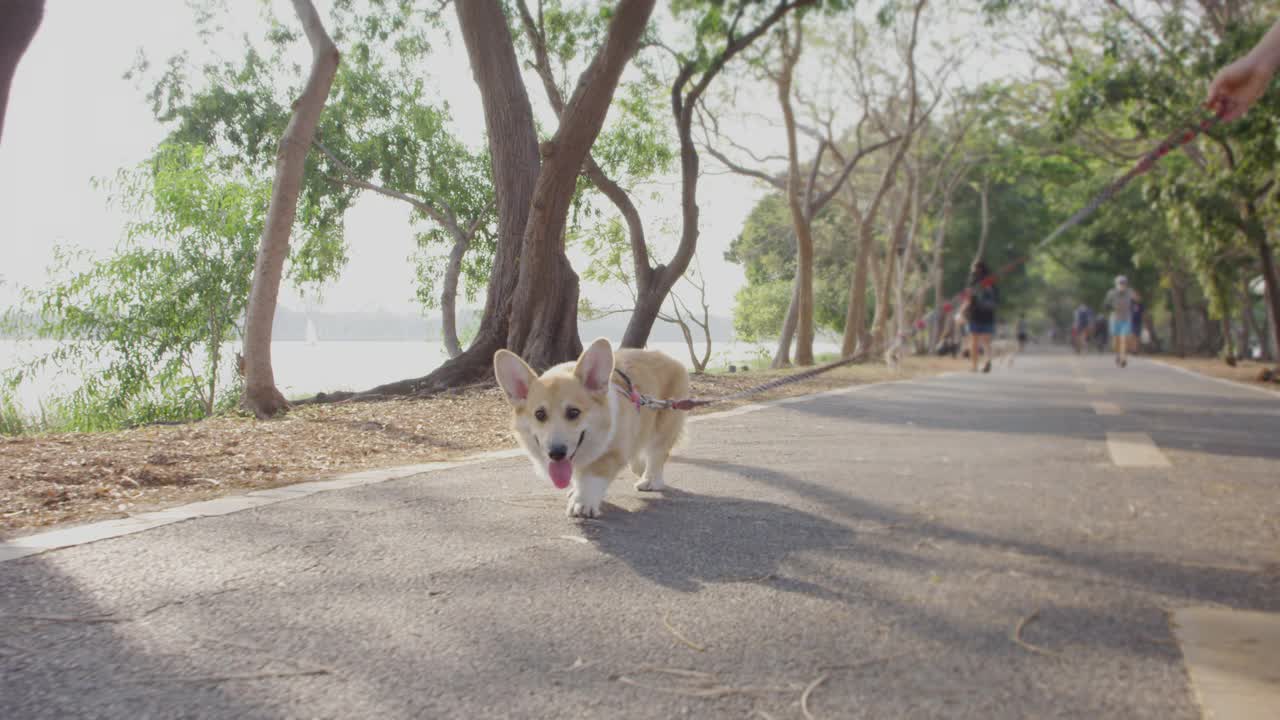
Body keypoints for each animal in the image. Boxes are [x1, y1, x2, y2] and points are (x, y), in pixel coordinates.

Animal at [488, 335, 691, 515]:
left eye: (573, 412)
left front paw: (582, 502)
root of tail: (672, 359)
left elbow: (592, 477)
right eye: (539, 414)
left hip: (663, 428)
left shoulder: (611, 453)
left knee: (657, 455)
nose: (556, 453)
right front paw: (576, 491)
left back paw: (650, 480)